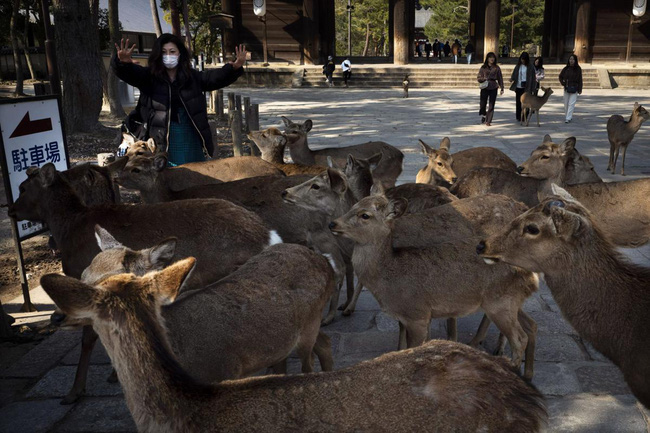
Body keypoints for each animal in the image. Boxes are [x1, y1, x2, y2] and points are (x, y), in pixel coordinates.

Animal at [8, 162, 276, 402]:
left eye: (22, 187)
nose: (10, 210)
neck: (69, 231)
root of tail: (267, 233)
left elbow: (88, 338)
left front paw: (74, 392)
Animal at [330, 192, 536, 378]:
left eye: (365, 215)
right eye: (353, 205)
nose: (333, 223)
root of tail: (532, 275)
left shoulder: (417, 313)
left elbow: (412, 350)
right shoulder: (408, 316)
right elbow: (400, 346)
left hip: (499, 302)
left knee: (520, 338)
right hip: (509, 301)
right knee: (531, 325)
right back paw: (526, 374)